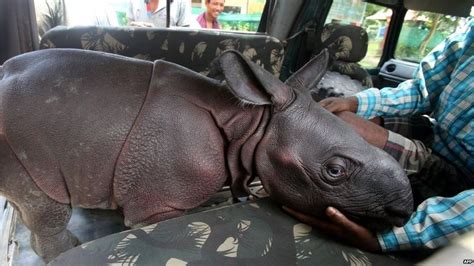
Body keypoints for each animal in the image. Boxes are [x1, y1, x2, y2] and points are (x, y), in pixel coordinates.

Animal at [0, 48, 412, 260]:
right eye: (334, 171)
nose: (403, 209)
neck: (251, 122)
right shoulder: (158, 202)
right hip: (15, 137)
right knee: (47, 205)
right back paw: (68, 251)